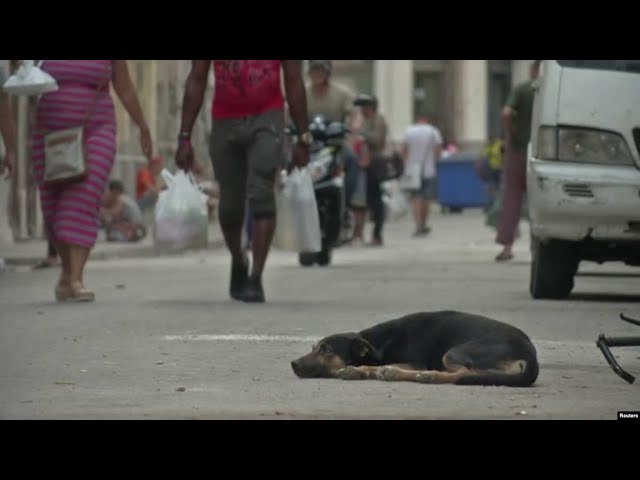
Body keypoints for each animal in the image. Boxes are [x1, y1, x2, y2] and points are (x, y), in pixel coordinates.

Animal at [292, 312, 536, 386]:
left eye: (326, 350)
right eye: (314, 347)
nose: (293, 363)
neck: (379, 343)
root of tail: (530, 353)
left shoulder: (414, 361)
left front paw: (363, 370)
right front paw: (362, 371)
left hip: (454, 352)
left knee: (465, 373)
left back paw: (429, 376)